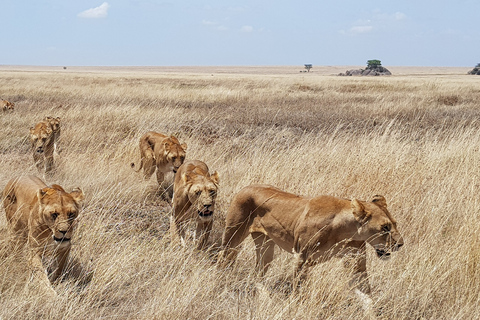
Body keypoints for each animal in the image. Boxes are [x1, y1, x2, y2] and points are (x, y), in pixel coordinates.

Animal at [219, 185, 404, 302]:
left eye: (395, 224)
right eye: (385, 227)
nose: (401, 244)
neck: (345, 231)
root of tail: (246, 187)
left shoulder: (356, 262)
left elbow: (366, 294)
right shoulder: (302, 257)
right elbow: (297, 287)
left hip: (266, 246)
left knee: (259, 271)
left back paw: (264, 296)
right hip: (233, 236)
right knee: (224, 258)